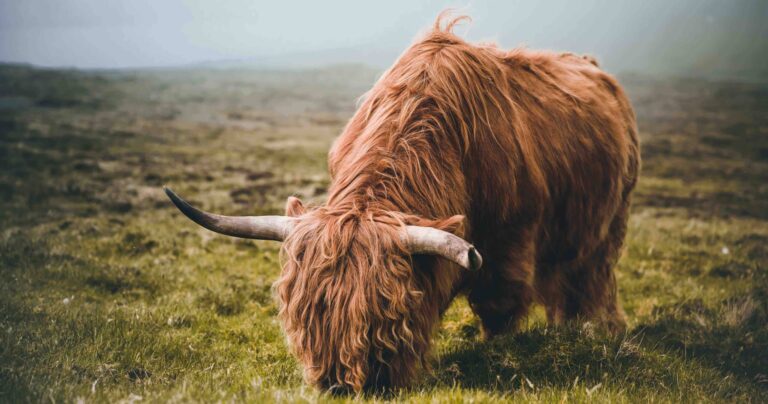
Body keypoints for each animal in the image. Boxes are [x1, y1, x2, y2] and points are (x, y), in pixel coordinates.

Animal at [165, 13, 639, 393]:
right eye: (302, 315)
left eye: (386, 312)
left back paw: (597, 331)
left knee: (592, 277)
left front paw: (497, 354)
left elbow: (499, 307)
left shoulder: (512, 243)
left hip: (611, 221)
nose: (340, 384)